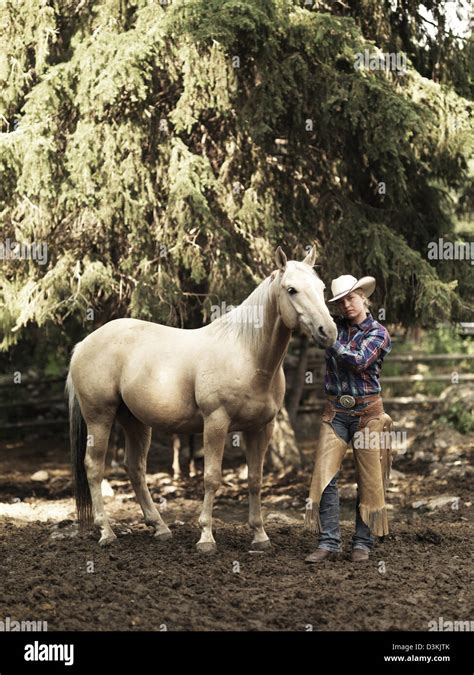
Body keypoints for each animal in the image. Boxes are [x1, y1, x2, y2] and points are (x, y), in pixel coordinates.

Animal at [66, 246, 336, 552]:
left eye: (321, 287)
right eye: (291, 289)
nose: (328, 331)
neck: (247, 354)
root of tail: (83, 344)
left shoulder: (261, 428)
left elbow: (254, 480)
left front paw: (260, 536)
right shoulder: (216, 422)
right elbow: (211, 478)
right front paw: (206, 537)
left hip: (135, 421)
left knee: (135, 468)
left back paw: (159, 527)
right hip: (99, 417)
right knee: (94, 467)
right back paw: (106, 532)